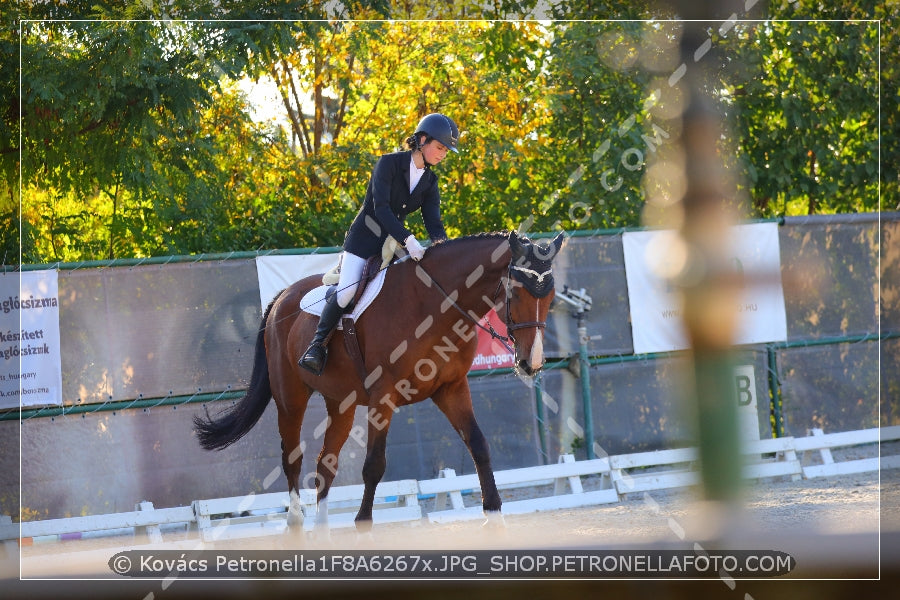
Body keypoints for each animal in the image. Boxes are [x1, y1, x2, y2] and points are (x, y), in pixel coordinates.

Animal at [194, 229, 568, 528]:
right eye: (516, 293)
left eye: (550, 297)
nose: (531, 363)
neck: (435, 304)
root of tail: (283, 297)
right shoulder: (383, 396)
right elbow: (374, 464)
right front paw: (363, 522)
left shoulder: (451, 388)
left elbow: (478, 444)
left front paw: (493, 512)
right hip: (291, 397)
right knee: (292, 458)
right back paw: (297, 522)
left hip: (341, 404)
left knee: (325, 464)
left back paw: (322, 530)